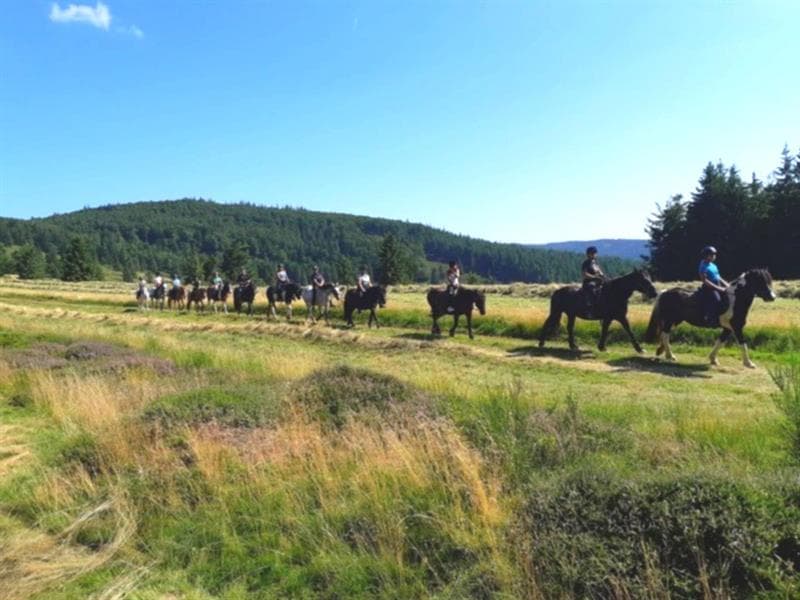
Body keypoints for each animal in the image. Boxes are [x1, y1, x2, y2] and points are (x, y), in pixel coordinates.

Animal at [645, 268, 776, 368]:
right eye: (761, 281)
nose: (772, 297)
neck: (735, 300)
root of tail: (664, 292)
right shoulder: (736, 327)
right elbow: (743, 344)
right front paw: (749, 364)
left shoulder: (728, 328)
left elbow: (720, 342)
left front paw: (713, 359)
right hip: (669, 320)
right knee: (665, 335)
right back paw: (670, 355)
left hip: (675, 321)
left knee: (664, 334)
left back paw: (663, 352)